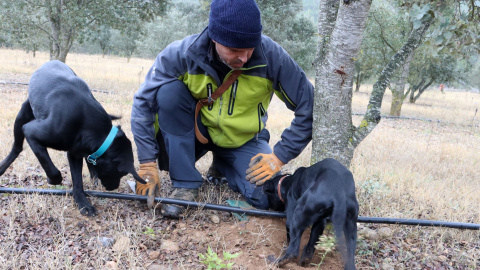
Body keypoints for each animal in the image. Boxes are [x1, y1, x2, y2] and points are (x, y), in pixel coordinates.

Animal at [0, 60, 146, 215]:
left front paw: (82, 203)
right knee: (17, 148)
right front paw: (52, 180)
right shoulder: (31, 132)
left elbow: (77, 181)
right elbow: (53, 170)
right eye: (121, 173)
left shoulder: (75, 153)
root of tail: (52, 61)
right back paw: (2, 167)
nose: (114, 188)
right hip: (22, 117)